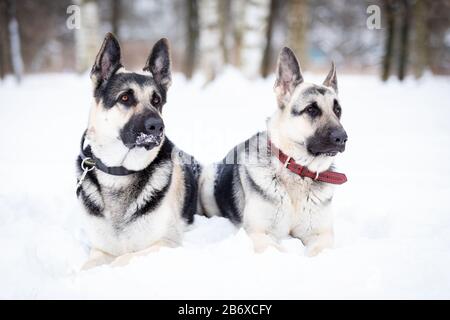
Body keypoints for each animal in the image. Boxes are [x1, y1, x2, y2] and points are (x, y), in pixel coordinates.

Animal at [76, 33, 200, 268]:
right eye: (125, 98)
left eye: (156, 100)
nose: (158, 126)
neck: (119, 174)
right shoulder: (99, 250)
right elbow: (85, 267)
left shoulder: (165, 244)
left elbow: (123, 258)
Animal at [200, 47, 348, 256]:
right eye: (311, 109)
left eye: (337, 110)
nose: (343, 138)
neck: (298, 173)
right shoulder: (259, 233)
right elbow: (277, 251)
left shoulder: (321, 235)